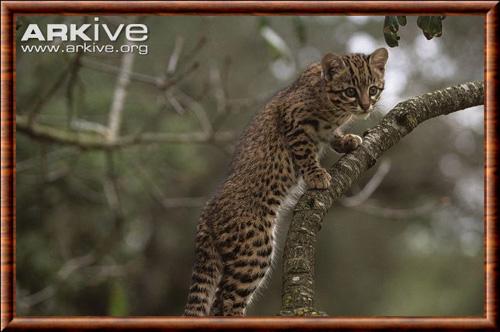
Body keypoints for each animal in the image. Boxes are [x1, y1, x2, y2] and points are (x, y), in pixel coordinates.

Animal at [182, 47, 388, 316]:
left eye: (373, 89)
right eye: (350, 91)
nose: (365, 105)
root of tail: (206, 216)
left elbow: (332, 136)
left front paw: (347, 141)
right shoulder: (293, 119)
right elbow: (304, 152)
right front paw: (317, 175)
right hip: (253, 248)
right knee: (224, 302)